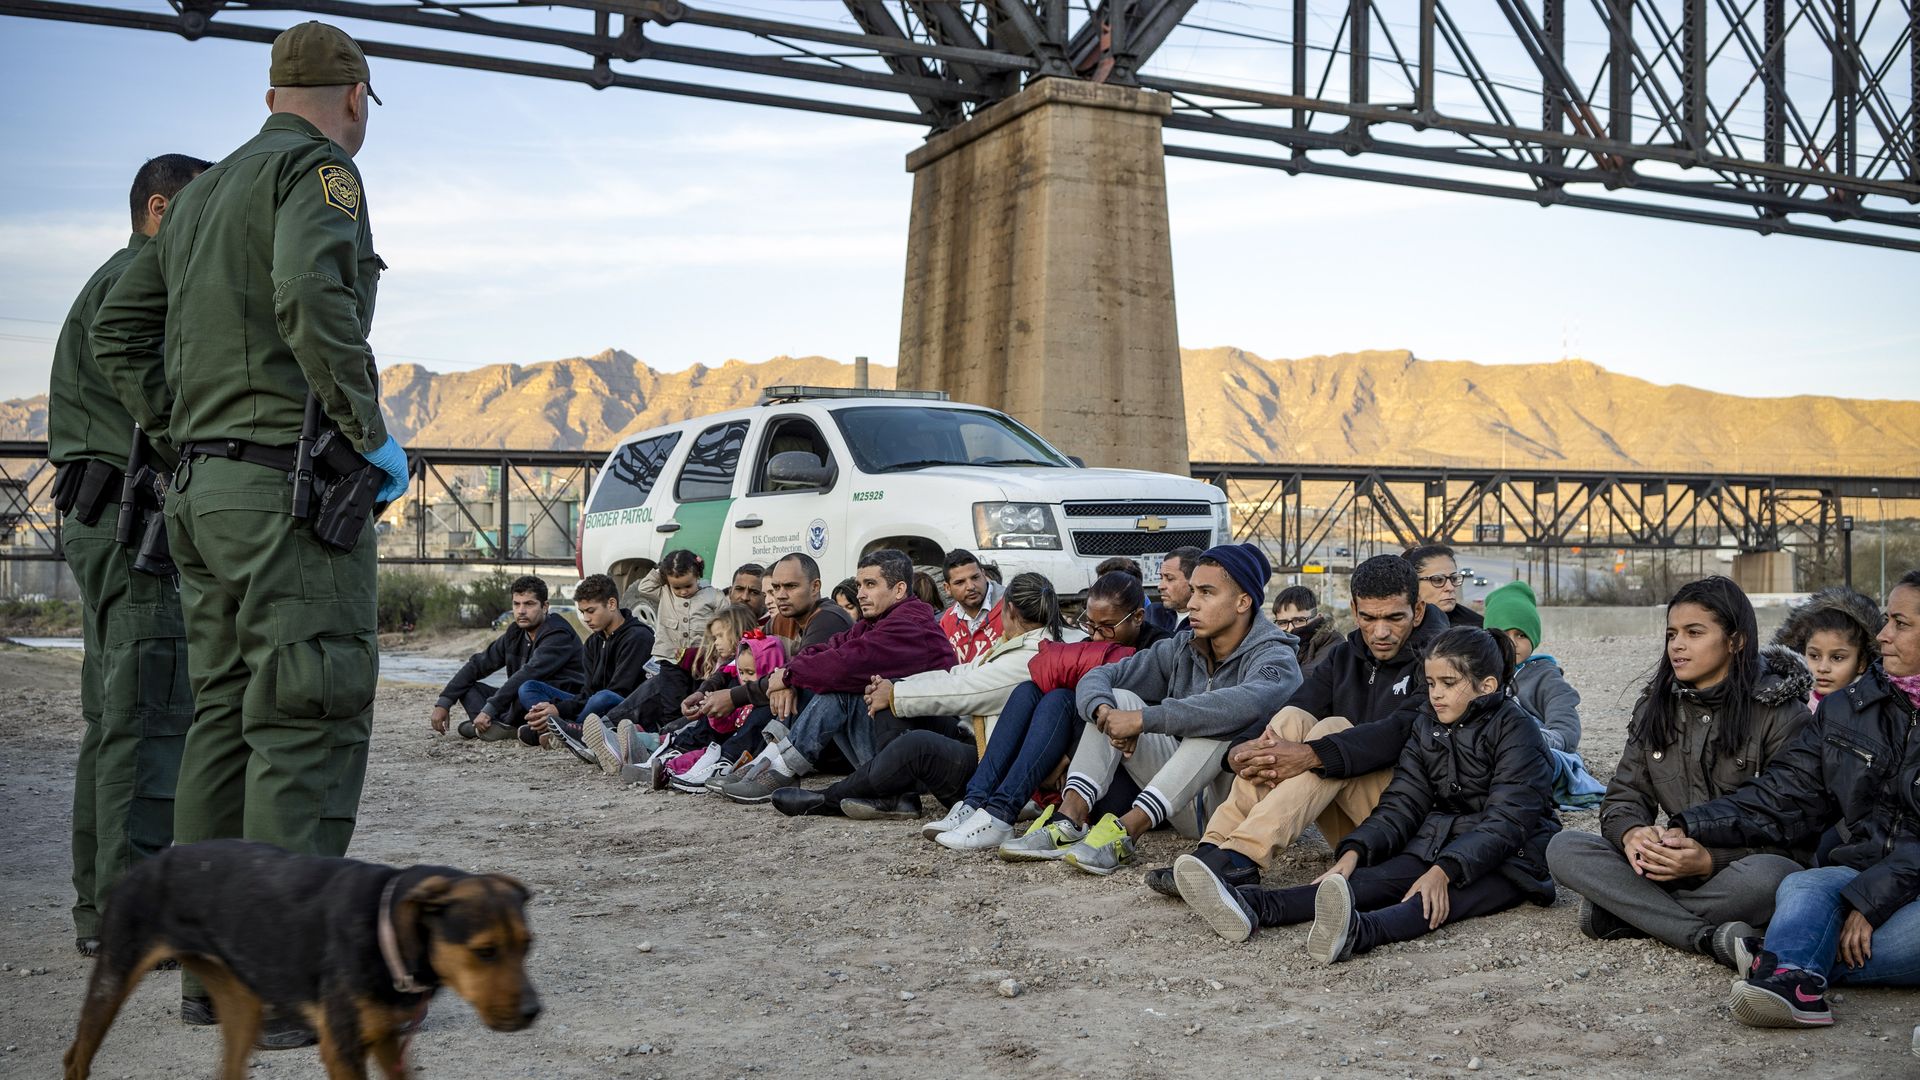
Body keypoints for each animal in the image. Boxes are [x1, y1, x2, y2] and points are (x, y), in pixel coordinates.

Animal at [65, 841, 541, 1076]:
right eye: (484, 952)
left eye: (527, 946)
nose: (533, 1012)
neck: (382, 926)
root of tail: (146, 864)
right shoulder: (342, 1049)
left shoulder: (386, 1040)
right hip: (113, 977)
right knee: (76, 1058)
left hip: (241, 1007)